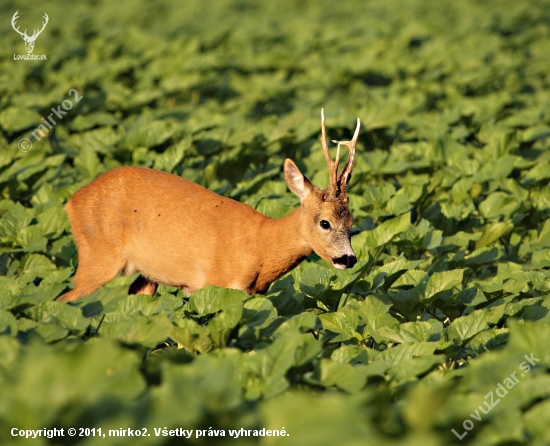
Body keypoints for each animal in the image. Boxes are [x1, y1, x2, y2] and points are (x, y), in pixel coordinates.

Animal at [58, 110, 362, 302]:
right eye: (324, 222)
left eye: (351, 224)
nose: (349, 259)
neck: (261, 245)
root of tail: (71, 202)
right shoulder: (215, 284)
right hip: (98, 255)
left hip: (145, 275)